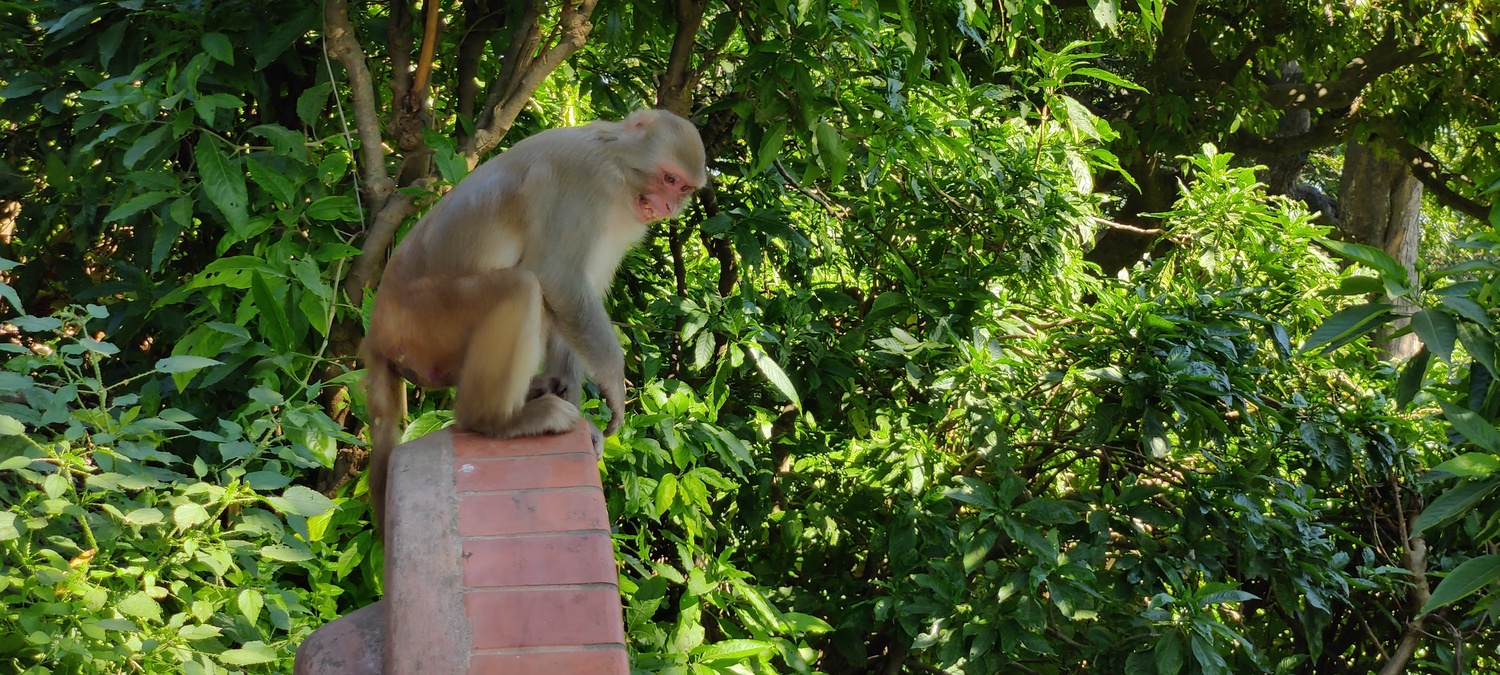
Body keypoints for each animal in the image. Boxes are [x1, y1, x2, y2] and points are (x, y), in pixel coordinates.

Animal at [366, 108, 711, 528]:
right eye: (669, 178)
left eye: (684, 188)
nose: (668, 207)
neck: (615, 159)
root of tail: (378, 332)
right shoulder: (587, 184)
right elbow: (558, 279)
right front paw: (615, 386)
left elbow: (572, 300)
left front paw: (580, 410)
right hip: (424, 324)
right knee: (521, 287)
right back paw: (495, 420)